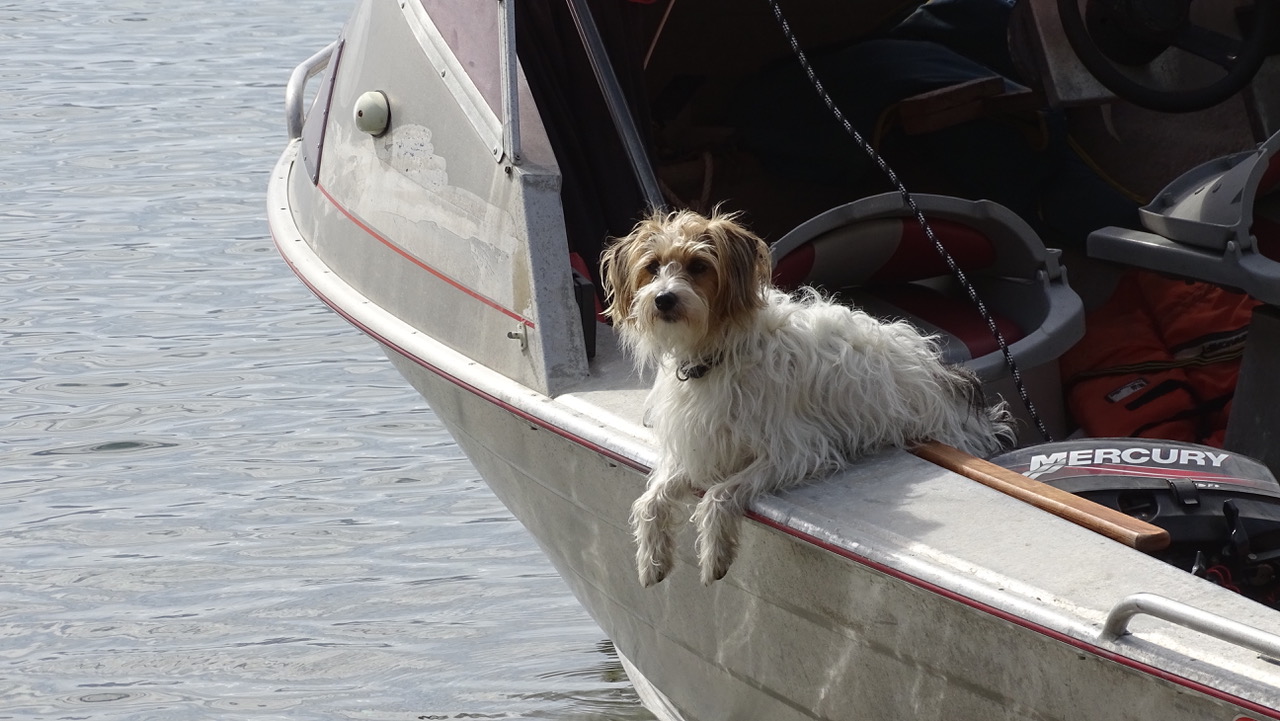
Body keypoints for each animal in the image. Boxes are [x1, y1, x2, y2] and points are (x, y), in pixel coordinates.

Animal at [599, 207, 1008, 586]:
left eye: (699, 266)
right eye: (652, 267)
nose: (664, 299)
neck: (719, 353)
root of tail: (944, 376)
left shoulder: (794, 451)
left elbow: (719, 495)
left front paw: (714, 552)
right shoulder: (705, 446)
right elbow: (650, 499)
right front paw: (651, 559)